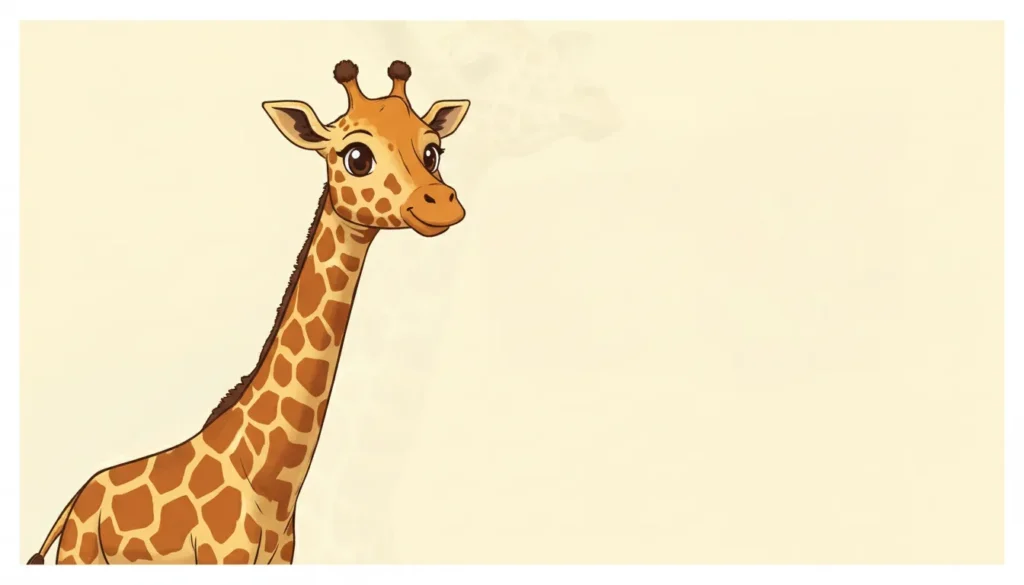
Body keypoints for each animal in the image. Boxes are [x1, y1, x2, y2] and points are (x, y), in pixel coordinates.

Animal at [25, 59, 471, 565]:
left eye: (433, 151)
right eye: (356, 156)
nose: (441, 204)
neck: (273, 485)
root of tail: (73, 505)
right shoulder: (225, 557)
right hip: (79, 556)